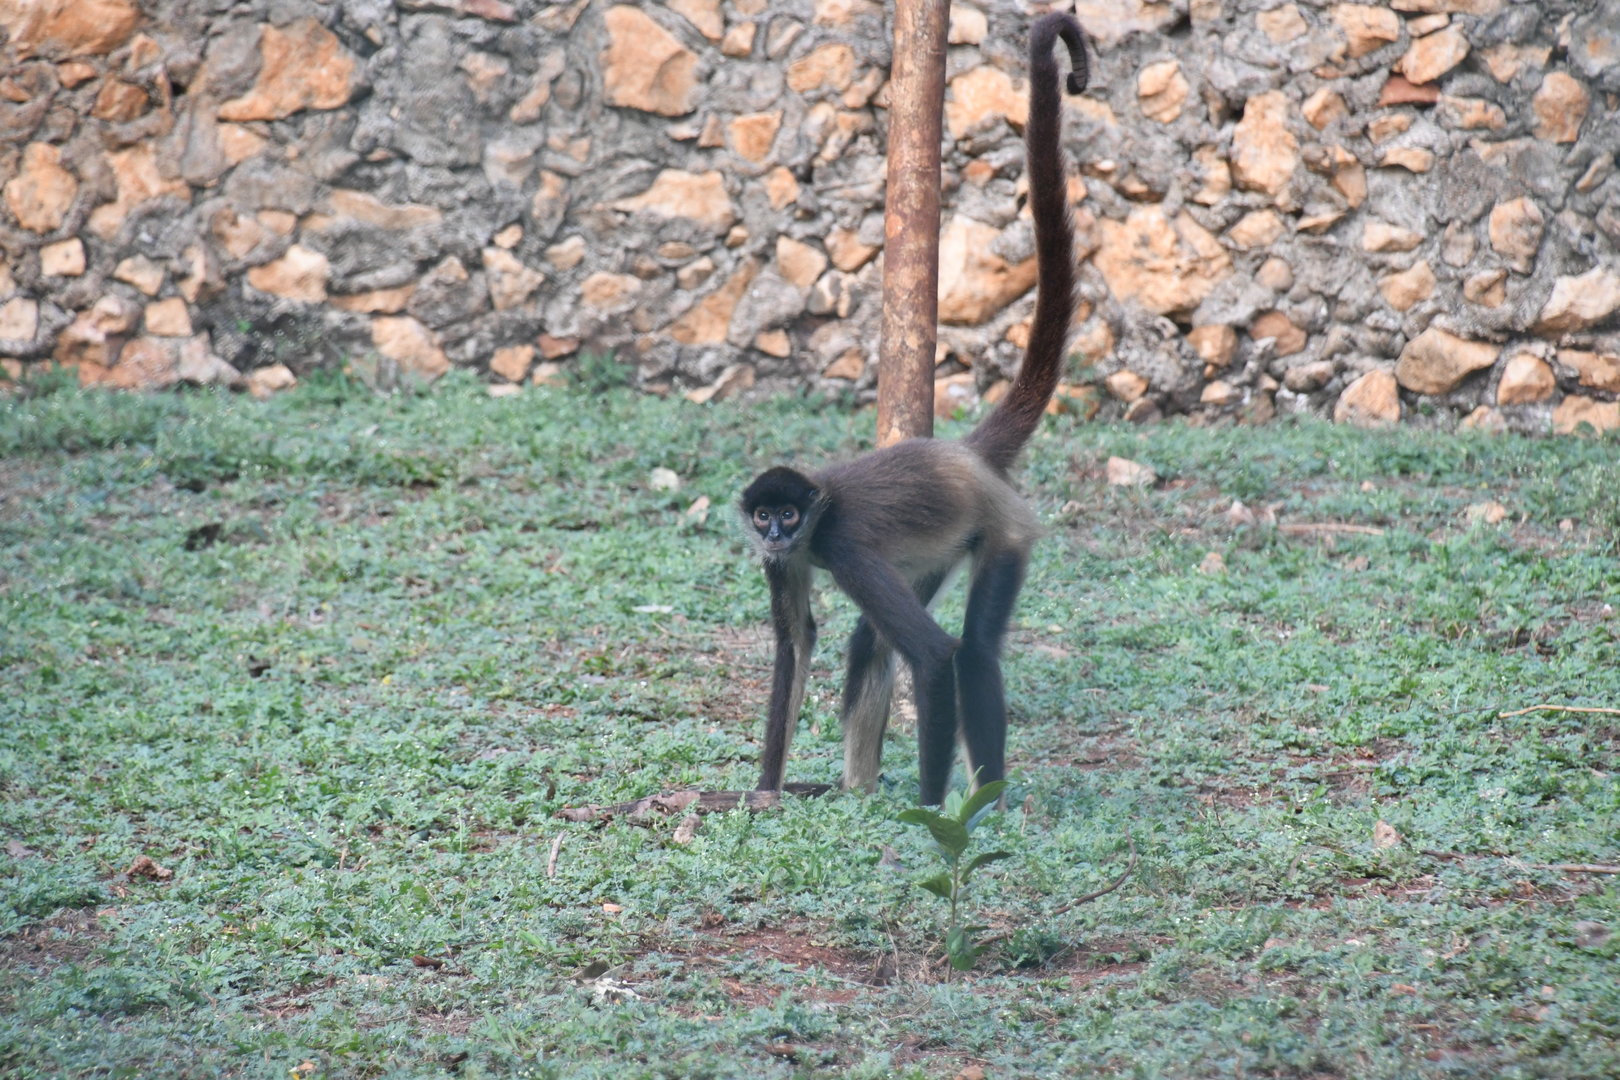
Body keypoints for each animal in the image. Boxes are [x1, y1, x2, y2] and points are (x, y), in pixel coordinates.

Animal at [736, 13, 1089, 806]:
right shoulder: (790, 562)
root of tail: (961, 453)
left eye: (790, 514)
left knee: (973, 650)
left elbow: (933, 658)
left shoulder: (843, 545)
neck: (817, 524)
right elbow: (796, 645)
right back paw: (858, 789)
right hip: (943, 546)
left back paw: (981, 801)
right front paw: (765, 795)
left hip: (1002, 530)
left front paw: (931, 816)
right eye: (764, 516)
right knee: (871, 639)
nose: (774, 534)